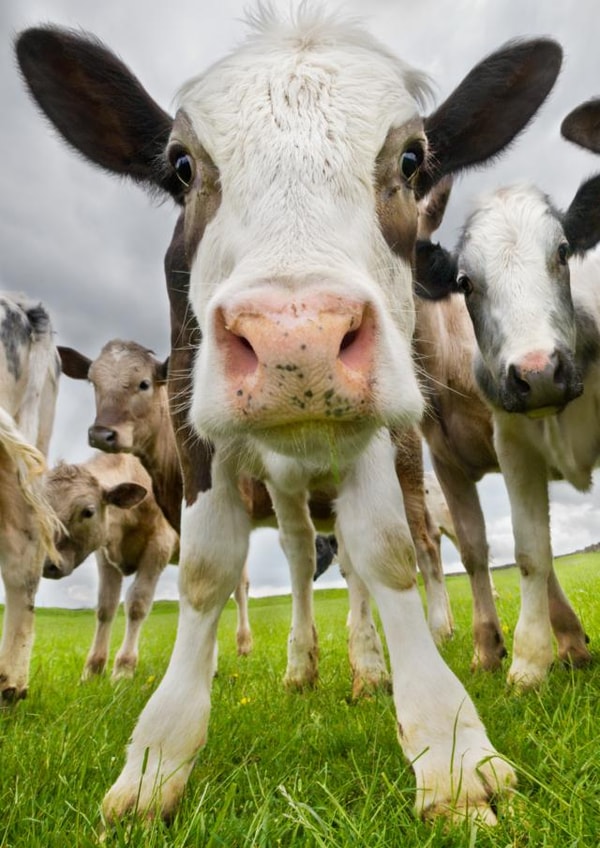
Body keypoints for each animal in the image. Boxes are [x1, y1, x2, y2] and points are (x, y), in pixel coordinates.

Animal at [43, 451, 179, 680]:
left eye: (88, 511)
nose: (47, 564)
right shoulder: (104, 554)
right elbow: (106, 606)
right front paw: (92, 671)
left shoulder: (159, 545)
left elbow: (137, 604)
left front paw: (124, 669)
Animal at [416, 173, 600, 688]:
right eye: (464, 282)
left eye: (563, 251)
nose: (538, 373)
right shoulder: (466, 456)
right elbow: (503, 550)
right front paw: (503, 653)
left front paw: (566, 643)